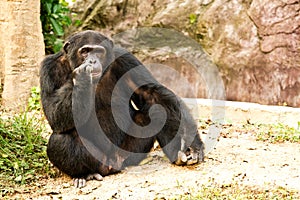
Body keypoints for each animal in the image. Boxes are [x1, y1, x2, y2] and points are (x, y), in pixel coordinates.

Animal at [39, 29, 204, 188]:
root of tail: (112, 164)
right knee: (59, 140)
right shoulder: (48, 68)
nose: (92, 60)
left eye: (99, 51)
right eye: (85, 51)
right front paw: (81, 76)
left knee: (157, 111)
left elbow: (153, 93)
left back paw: (177, 154)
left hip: (130, 154)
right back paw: (85, 174)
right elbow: (53, 113)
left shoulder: (126, 59)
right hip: (98, 160)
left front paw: (191, 145)